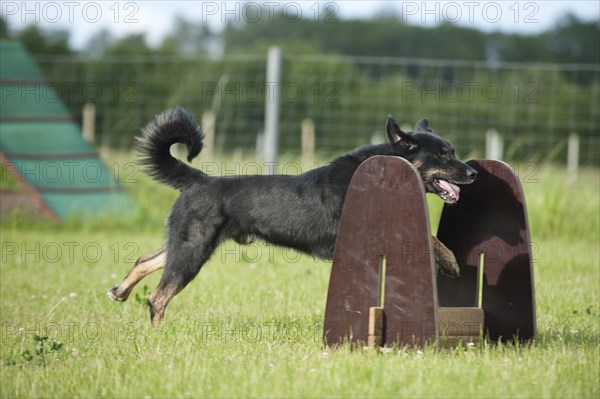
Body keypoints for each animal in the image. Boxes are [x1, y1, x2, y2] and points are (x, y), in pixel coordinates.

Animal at [106, 108, 474, 326]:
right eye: (442, 155)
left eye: (453, 151)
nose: (472, 173)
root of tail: (200, 180)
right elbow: (431, 239)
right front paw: (451, 263)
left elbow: (432, 238)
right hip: (194, 248)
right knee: (158, 295)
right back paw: (155, 334)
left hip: (186, 243)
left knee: (146, 260)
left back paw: (120, 292)